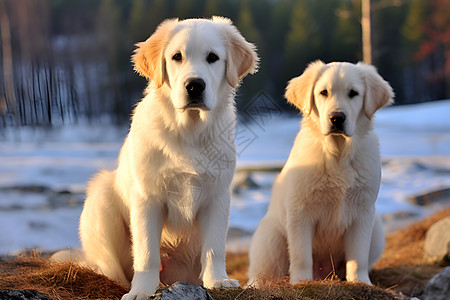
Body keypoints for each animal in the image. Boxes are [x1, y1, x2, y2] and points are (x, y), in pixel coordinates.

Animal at [248, 60, 392, 286]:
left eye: (353, 93)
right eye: (323, 92)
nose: (337, 118)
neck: (338, 154)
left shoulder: (363, 211)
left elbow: (358, 256)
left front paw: (360, 282)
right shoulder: (300, 211)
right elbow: (301, 255)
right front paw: (300, 282)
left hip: (377, 231)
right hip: (270, 237)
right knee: (261, 273)